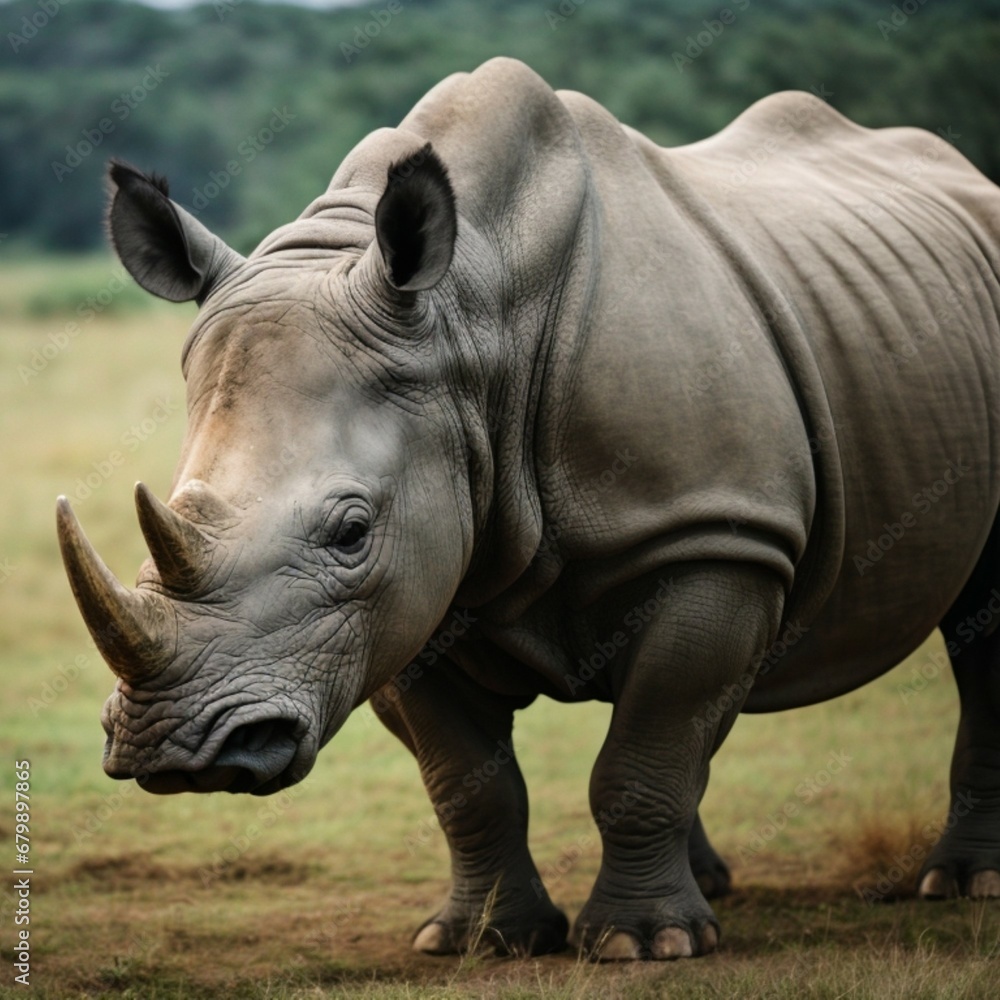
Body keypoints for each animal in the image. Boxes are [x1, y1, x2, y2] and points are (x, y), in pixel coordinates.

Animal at [58, 58, 1000, 960]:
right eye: (179, 505)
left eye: (352, 531)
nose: (174, 747)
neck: (474, 322)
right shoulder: (409, 590)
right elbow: (469, 784)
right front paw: (479, 942)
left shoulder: (711, 531)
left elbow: (644, 751)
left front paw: (641, 945)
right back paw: (713, 888)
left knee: (974, 627)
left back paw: (960, 887)